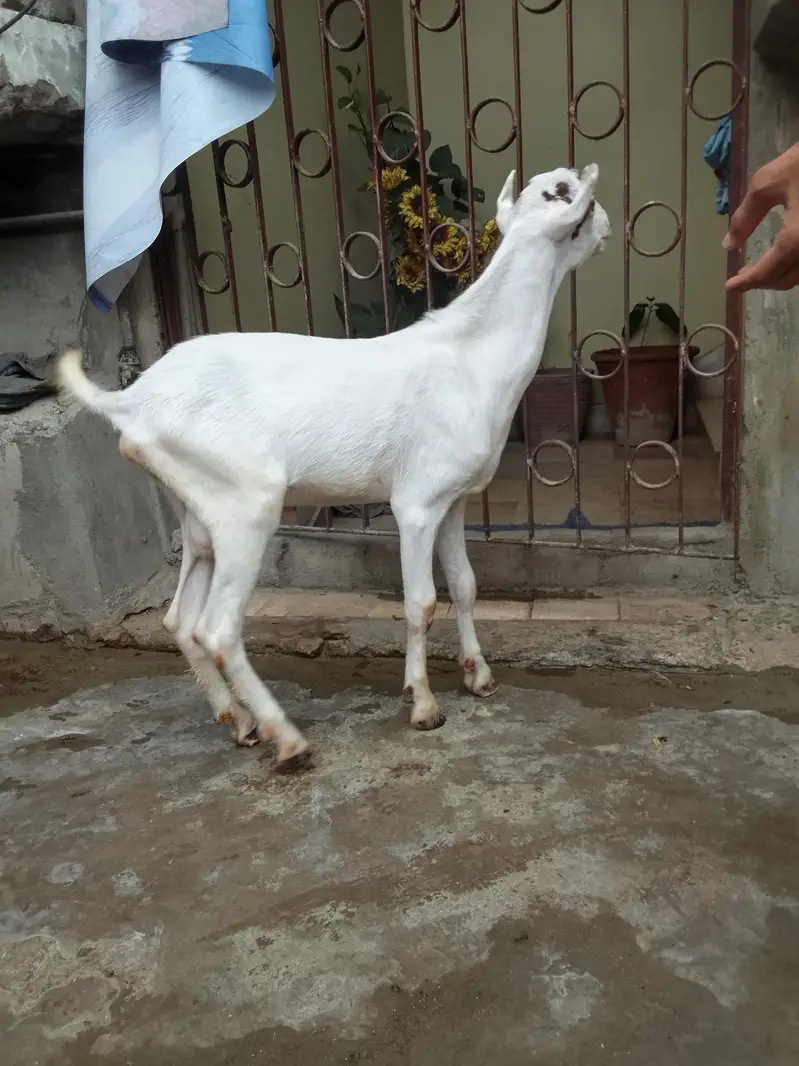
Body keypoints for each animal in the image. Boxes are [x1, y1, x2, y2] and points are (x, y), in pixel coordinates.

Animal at [57, 163, 610, 771]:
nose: (606, 222)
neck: (471, 355)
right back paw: (287, 738)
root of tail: (133, 400)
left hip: (197, 509)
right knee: (217, 629)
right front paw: (423, 704)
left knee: (181, 620)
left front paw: (479, 676)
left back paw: (239, 721)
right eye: (570, 198)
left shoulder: (455, 499)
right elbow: (421, 603)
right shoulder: (416, 504)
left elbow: (465, 586)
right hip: (245, 503)